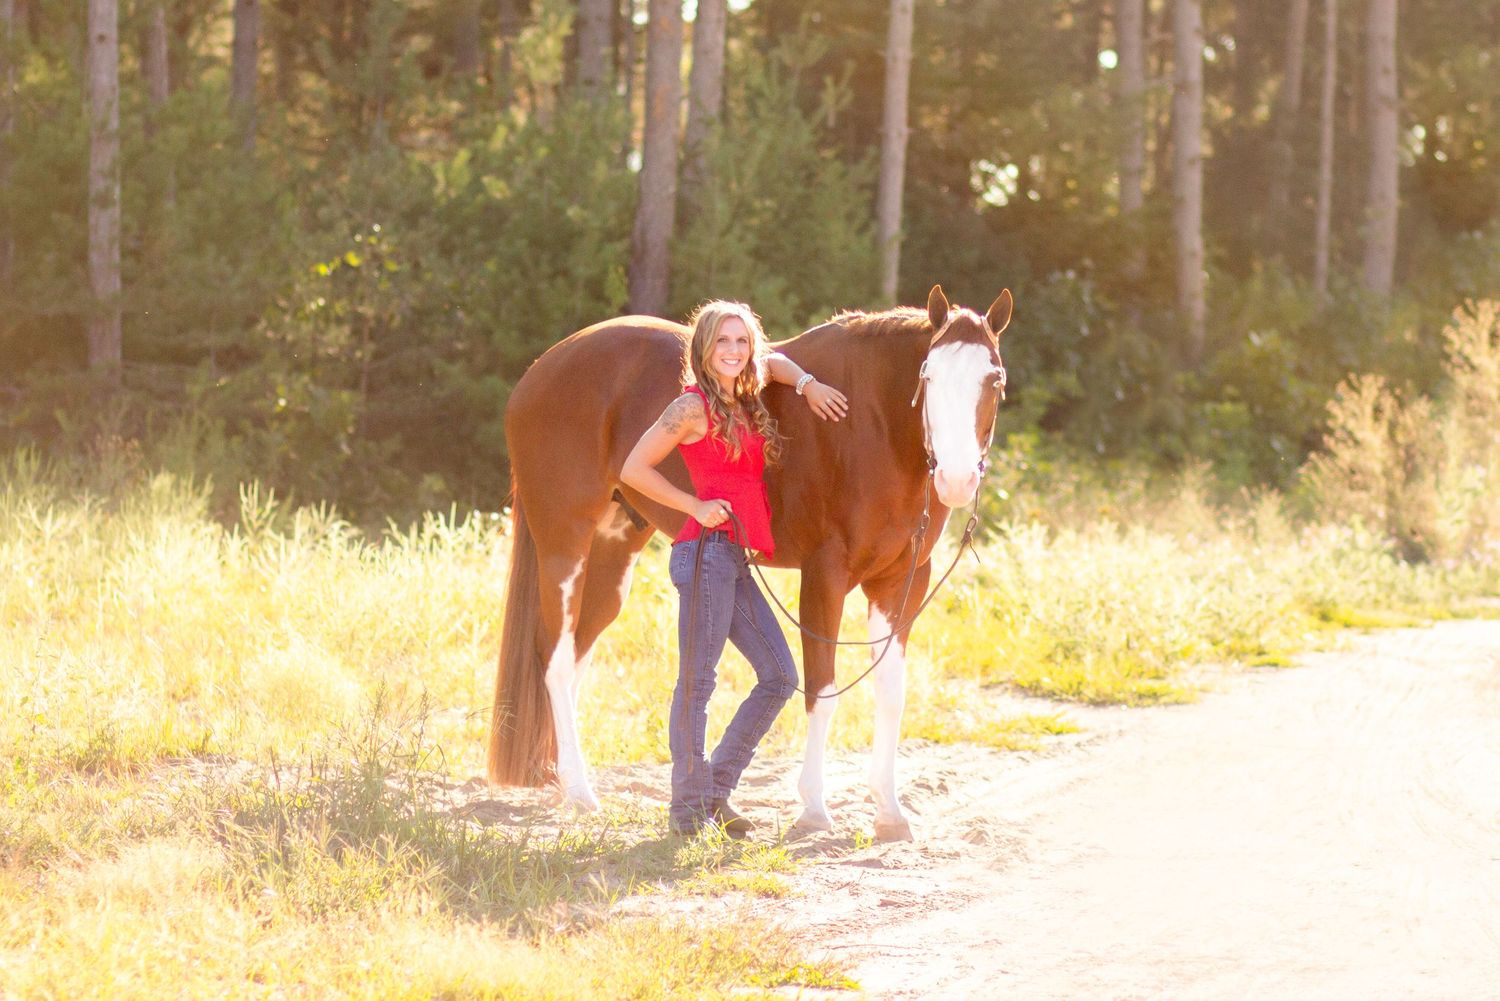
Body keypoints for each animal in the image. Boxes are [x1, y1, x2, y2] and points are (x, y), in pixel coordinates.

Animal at [488, 285, 1012, 841]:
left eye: (994, 380)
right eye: (928, 377)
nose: (957, 479)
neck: (873, 424)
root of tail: (541, 370)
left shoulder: (900, 582)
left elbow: (891, 692)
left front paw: (890, 813)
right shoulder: (824, 577)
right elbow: (821, 689)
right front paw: (813, 809)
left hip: (614, 555)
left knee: (575, 659)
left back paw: (565, 781)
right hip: (564, 545)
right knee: (556, 658)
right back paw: (582, 794)